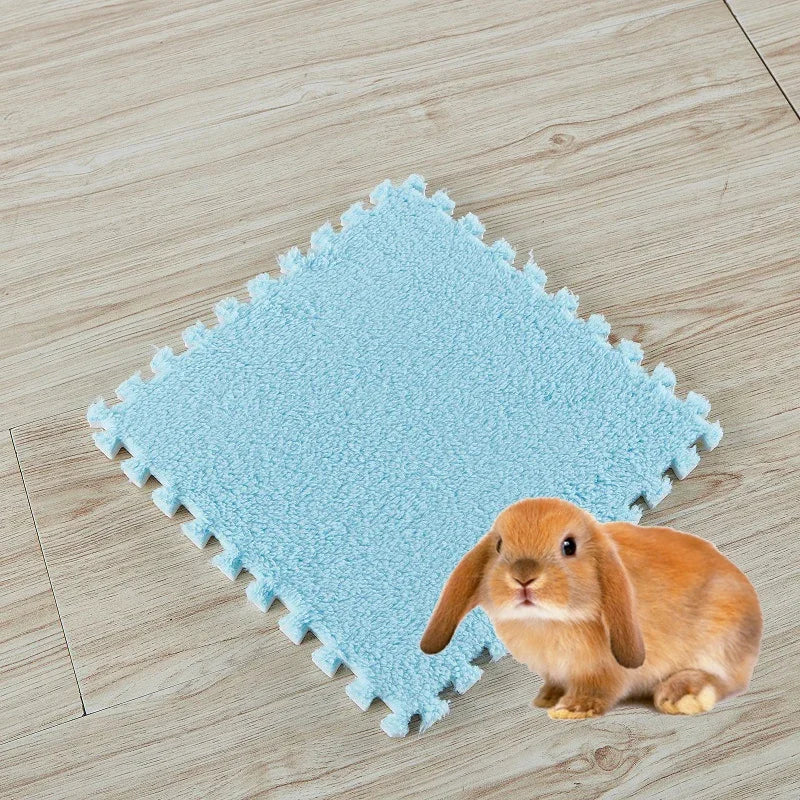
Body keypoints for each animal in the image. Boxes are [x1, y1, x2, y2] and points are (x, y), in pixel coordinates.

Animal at [420, 497, 761, 719]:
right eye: (500, 545)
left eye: (569, 546)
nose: (523, 577)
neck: (547, 621)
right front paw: (547, 699)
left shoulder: (604, 671)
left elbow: (599, 689)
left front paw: (571, 709)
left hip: (719, 639)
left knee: (727, 681)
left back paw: (681, 696)